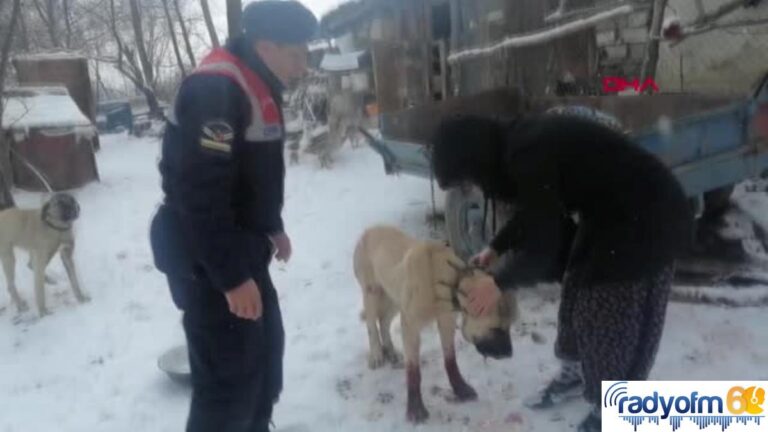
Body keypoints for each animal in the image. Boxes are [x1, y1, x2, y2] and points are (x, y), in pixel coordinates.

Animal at [354, 224, 516, 424]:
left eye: (509, 326)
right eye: (496, 328)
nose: (510, 354)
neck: (438, 277)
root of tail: (369, 229)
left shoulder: (446, 320)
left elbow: (450, 359)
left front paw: (460, 388)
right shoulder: (410, 326)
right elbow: (413, 371)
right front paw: (415, 409)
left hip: (393, 297)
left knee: (383, 322)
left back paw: (390, 350)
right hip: (372, 293)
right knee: (371, 325)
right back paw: (377, 354)